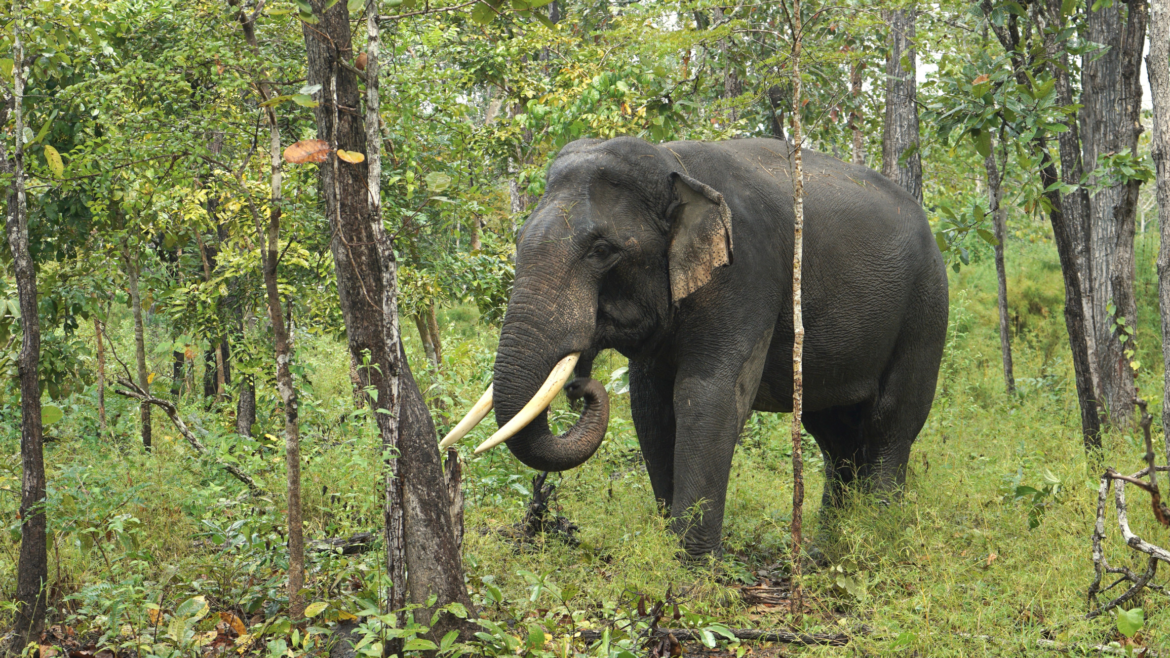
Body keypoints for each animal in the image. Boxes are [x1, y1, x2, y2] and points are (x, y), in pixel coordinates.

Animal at [439, 135, 950, 554]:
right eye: (518, 239)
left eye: (602, 251)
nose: (581, 386)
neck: (675, 165)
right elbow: (650, 405)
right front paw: (673, 550)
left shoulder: (747, 274)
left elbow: (708, 396)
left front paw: (694, 570)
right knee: (834, 435)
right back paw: (827, 550)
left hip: (925, 308)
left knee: (890, 421)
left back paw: (877, 536)